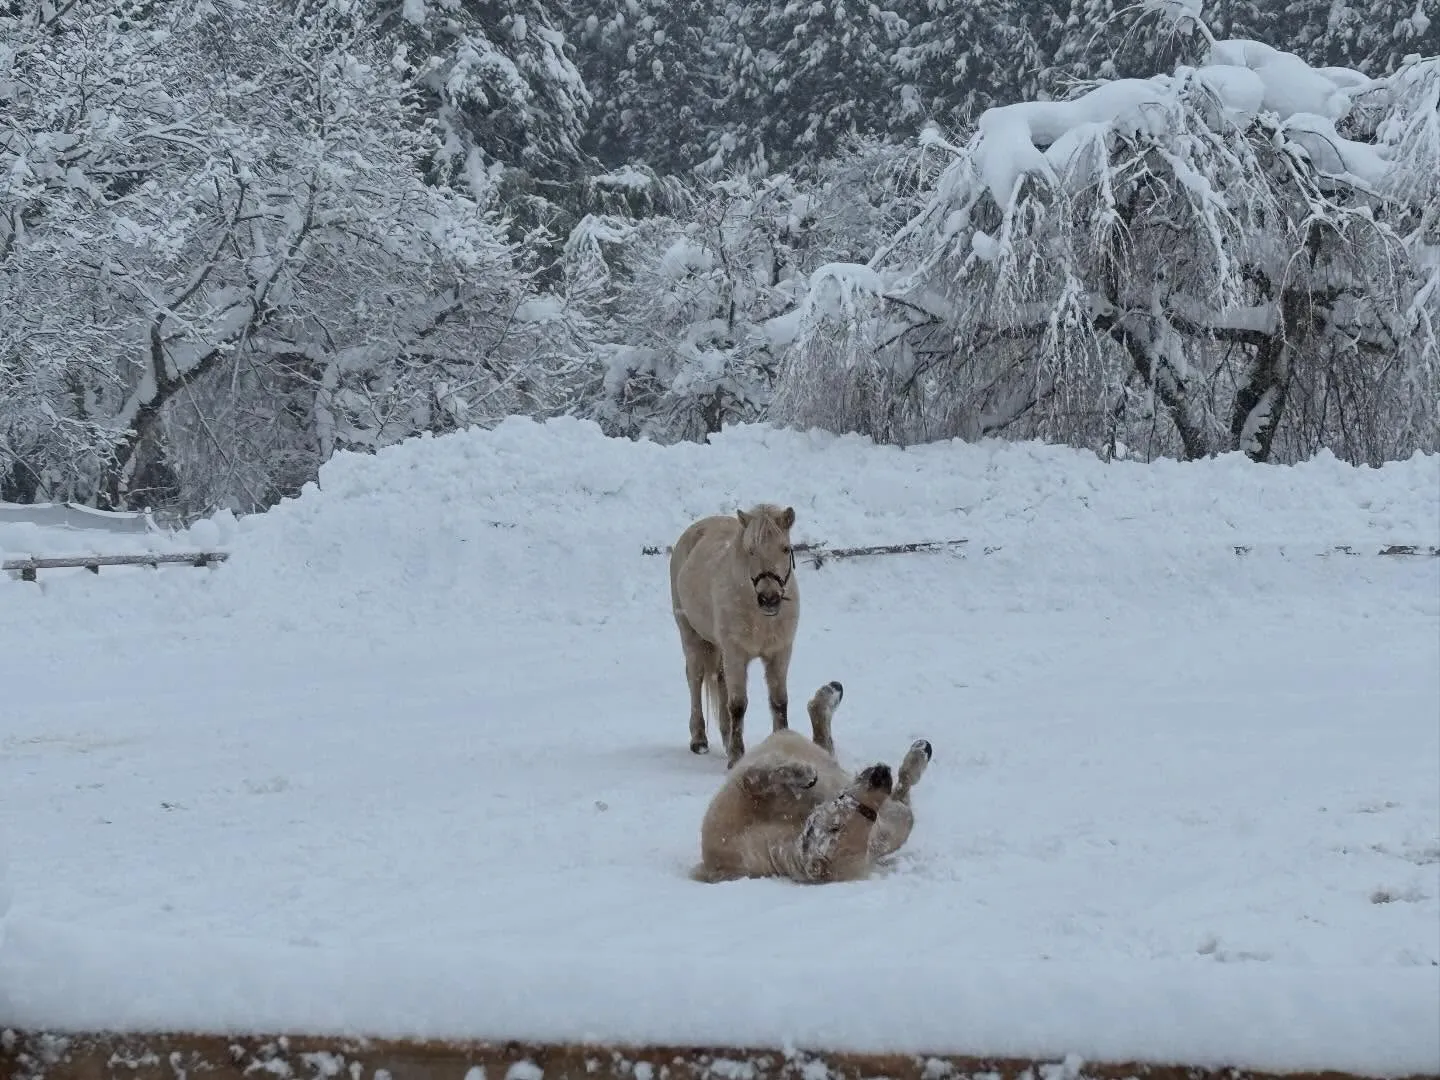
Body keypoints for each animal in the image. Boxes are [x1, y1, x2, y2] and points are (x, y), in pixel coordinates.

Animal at [669, 503, 809, 768]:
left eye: (785, 548)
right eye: (751, 550)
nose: (769, 598)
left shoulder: (780, 653)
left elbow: (779, 701)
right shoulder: (736, 653)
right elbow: (738, 705)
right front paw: (736, 757)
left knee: (719, 679)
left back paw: (725, 738)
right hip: (690, 635)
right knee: (695, 679)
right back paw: (699, 740)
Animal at [691, 681, 933, 884]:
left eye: (870, 817)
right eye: (836, 827)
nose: (881, 777)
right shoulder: (731, 817)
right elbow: (755, 778)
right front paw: (804, 773)